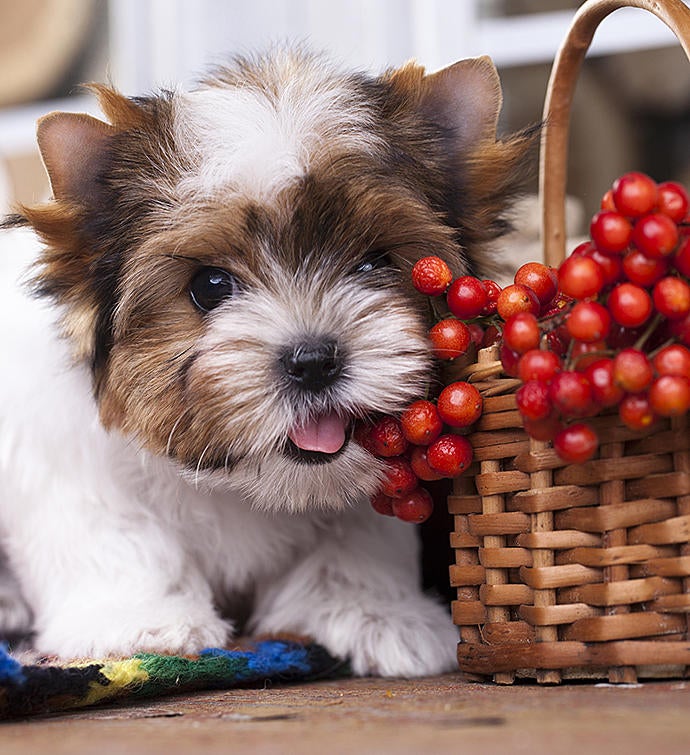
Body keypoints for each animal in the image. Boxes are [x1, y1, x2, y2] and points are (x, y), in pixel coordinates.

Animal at [0, 48, 528, 680]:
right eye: (209, 286)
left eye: (375, 262)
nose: (313, 360)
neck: (236, 481)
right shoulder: (73, 463)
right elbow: (117, 533)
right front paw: (143, 621)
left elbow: (351, 539)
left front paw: (371, 611)